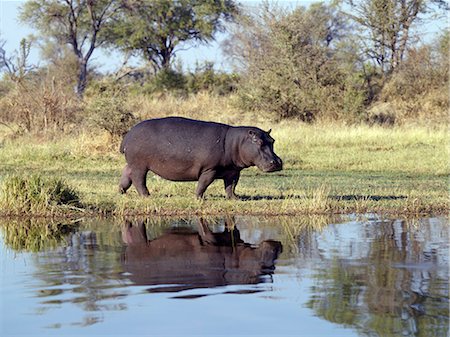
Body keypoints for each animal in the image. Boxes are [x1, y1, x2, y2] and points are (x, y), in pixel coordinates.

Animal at [119, 117, 282, 198]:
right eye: (258, 141)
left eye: (272, 140)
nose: (277, 162)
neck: (236, 142)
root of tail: (128, 134)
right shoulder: (209, 169)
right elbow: (203, 184)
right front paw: (199, 198)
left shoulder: (233, 171)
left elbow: (231, 186)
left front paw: (235, 199)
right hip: (140, 165)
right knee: (139, 180)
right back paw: (147, 196)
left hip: (132, 163)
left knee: (126, 174)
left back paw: (121, 192)